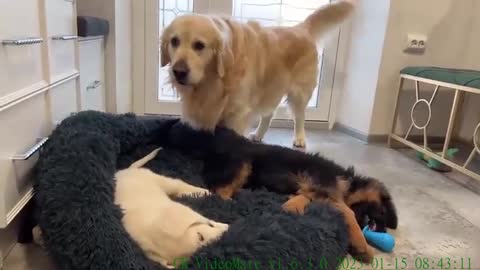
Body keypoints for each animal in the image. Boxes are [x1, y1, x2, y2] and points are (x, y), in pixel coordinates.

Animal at [162, 0, 356, 148]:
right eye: (174, 41)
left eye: (199, 45)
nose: (178, 72)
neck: (216, 80)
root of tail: (301, 28)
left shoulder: (237, 113)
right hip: (271, 89)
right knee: (269, 114)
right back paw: (258, 134)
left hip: (299, 94)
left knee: (300, 116)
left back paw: (300, 138)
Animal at [165, 122, 398, 262]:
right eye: (383, 213)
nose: (382, 231)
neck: (349, 181)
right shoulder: (325, 185)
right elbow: (347, 212)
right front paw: (362, 246)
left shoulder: (316, 189)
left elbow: (304, 197)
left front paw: (292, 205)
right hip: (241, 164)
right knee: (218, 192)